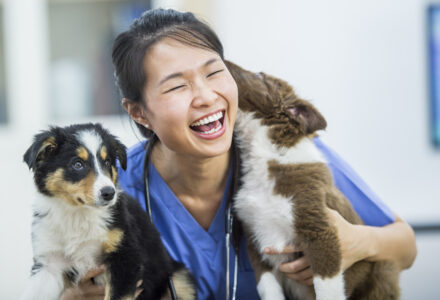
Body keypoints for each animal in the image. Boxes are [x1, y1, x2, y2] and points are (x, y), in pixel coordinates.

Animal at [20, 122, 196, 300]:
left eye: (107, 162)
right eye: (77, 164)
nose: (109, 193)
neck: (78, 213)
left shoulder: (125, 255)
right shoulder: (49, 264)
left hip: (179, 280)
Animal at [225, 61, 400, 300]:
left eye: (260, 75)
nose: (222, 59)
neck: (267, 157)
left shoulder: (321, 235)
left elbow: (327, 291)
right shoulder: (256, 241)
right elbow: (268, 288)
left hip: (384, 267)